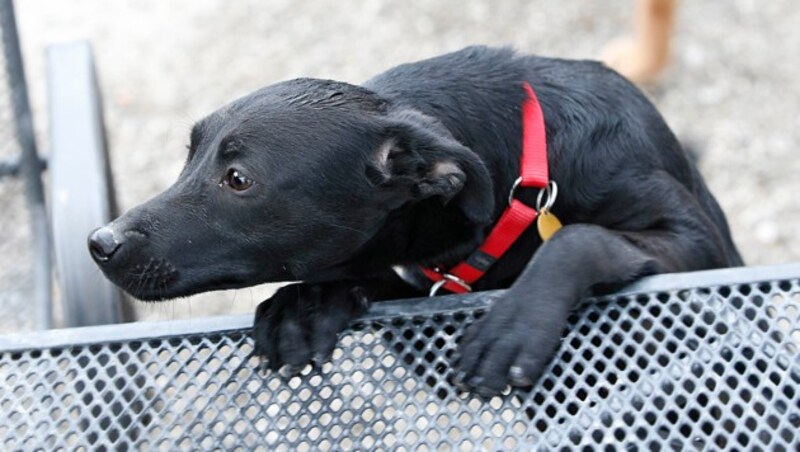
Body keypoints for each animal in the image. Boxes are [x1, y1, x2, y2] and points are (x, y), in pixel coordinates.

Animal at [89, 46, 744, 396]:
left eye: (238, 180)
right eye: (189, 155)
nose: (99, 242)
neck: (525, 174)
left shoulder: (696, 243)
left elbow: (579, 237)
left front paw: (515, 327)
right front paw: (307, 303)